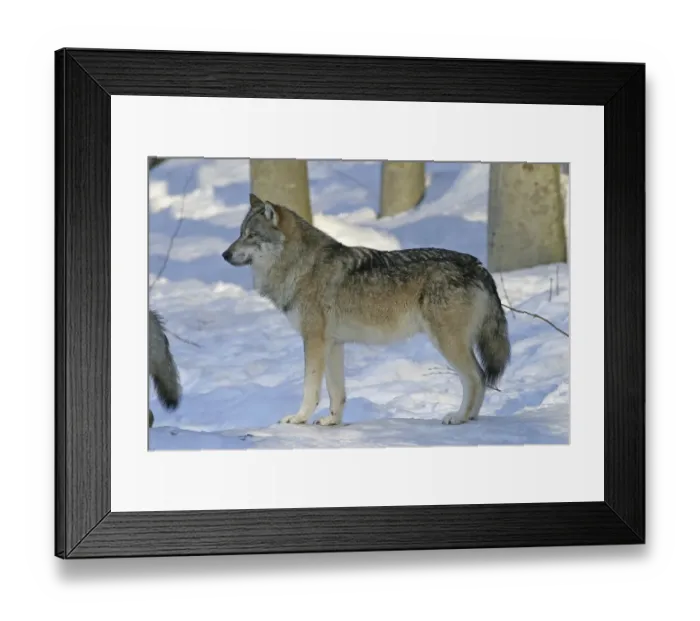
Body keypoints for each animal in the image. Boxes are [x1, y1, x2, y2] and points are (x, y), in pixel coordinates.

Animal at [222, 193, 510, 427]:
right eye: (240, 233)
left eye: (251, 236)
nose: (224, 255)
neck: (299, 266)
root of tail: (477, 265)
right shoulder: (333, 344)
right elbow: (336, 391)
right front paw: (332, 421)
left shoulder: (314, 340)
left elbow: (310, 388)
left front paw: (299, 418)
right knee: (480, 378)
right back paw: (471, 417)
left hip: (447, 343)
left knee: (476, 377)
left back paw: (459, 417)